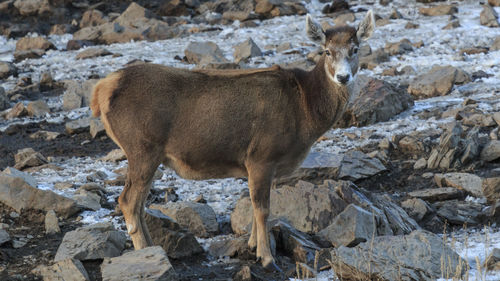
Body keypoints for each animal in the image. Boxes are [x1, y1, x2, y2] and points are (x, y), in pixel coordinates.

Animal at [91, 10, 376, 270]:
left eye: (355, 49)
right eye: (326, 51)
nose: (343, 77)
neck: (305, 110)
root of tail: (101, 91)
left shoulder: (254, 163)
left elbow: (252, 203)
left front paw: (252, 245)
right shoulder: (262, 154)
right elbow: (263, 208)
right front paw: (266, 257)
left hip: (148, 153)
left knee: (140, 204)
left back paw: (154, 248)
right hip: (142, 146)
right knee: (128, 201)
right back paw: (145, 254)